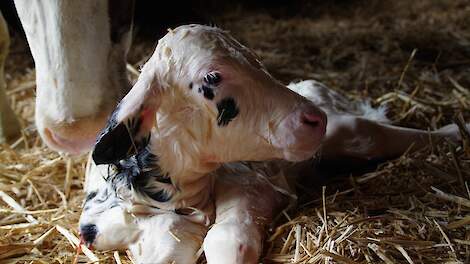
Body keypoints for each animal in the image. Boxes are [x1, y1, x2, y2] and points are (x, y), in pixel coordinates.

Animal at [80, 24, 466, 262]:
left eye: (254, 59)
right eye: (212, 77)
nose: (314, 119)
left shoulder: (247, 186)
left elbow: (226, 238)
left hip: (336, 131)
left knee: (367, 131)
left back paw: (455, 131)